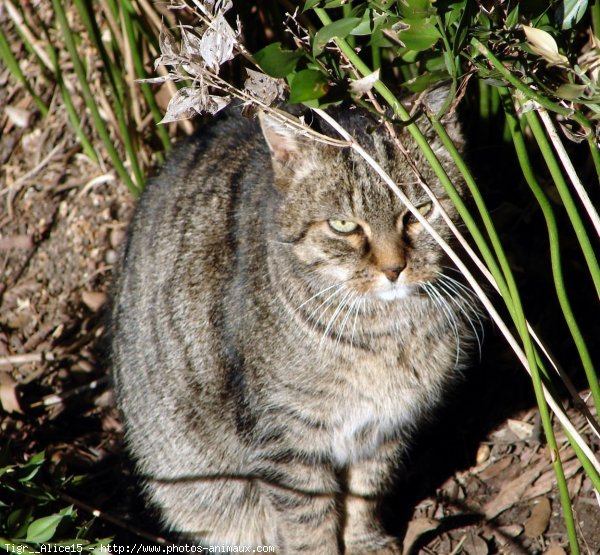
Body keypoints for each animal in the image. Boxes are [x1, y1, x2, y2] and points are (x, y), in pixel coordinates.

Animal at [110, 97, 480, 552]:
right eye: (343, 225)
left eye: (420, 211)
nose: (394, 269)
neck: (385, 331)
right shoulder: (286, 440)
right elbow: (308, 520)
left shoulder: (382, 431)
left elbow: (366, 494)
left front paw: (366, 542)